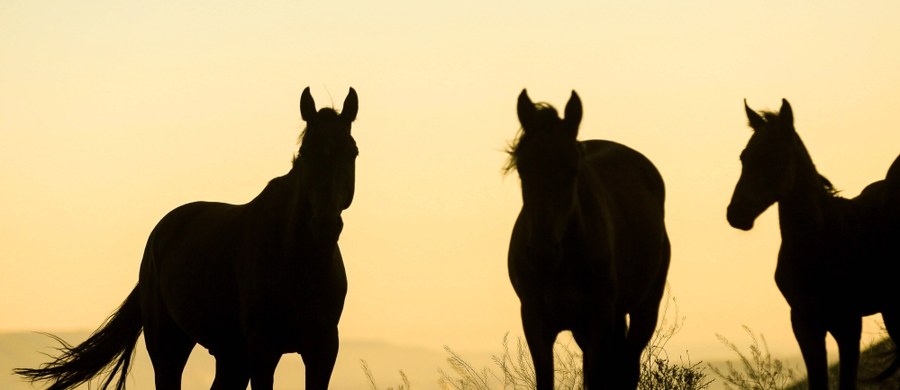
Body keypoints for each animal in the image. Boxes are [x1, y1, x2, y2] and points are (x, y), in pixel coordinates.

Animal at [14, 87, 358, 388]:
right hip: (169, 346)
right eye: (306, 153)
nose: (325, 224)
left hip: (230, 355)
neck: (297, 262)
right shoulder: (263, 349)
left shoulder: (323, 350)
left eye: (352, 152)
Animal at [506, 90, 668, 388]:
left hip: (644, 309)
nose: (543, 252)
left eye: (572, 169)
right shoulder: (536, 323)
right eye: (522, 168)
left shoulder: (598, 321)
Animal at [728, 98, 896, 390]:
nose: (736, 214)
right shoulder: (804, 323)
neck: (819, 240)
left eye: (778, 157)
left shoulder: (847, 322)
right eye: (744, 157)